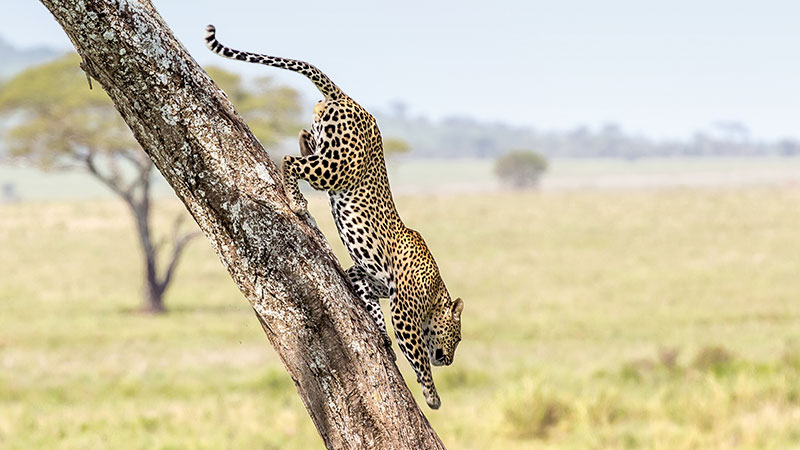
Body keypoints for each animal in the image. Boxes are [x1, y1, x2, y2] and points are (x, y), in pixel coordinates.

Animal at [206, 25, 462, 412]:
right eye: (458, 338)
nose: (449, 360)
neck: (436, 291)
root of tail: (350, 100)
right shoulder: (404, 311)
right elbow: (416, 353)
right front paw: (433, 396)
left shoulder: (362, 276)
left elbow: (371, 305)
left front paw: (380, 335)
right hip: (336, 166)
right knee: (291, 161)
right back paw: (296, 202)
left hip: (327, 147)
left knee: (302, 140)